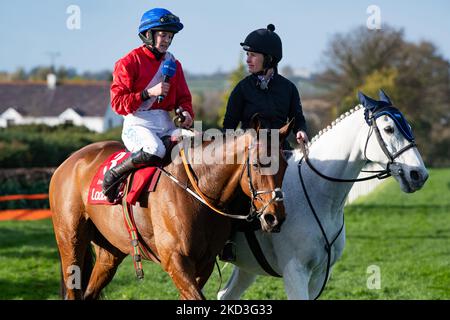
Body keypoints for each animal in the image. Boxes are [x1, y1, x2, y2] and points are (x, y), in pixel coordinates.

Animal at [49, 118, 292, 300]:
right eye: (258, 164)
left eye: (285, 165)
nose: (274, 218)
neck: (198, 188)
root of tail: (69, 161)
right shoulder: (176, 260)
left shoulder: (203, 264)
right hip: (70, 242)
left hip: (110, 251)